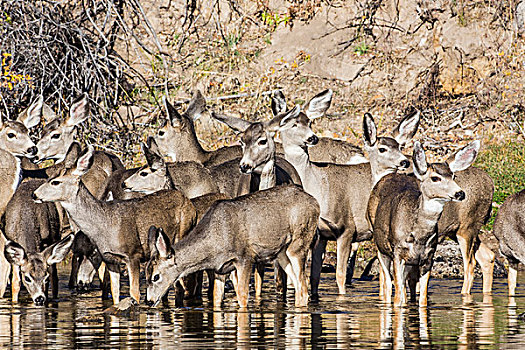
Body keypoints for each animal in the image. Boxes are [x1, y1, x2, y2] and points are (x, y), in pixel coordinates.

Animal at [32, 145, 196, 304]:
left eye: (55, 182)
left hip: (182, 235)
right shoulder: (110, 260)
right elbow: (114, 293)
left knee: (181, 284)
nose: (34, 194)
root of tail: (188, 202)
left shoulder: (133, 256)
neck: (104, 225)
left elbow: (134, 294)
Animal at [145, 185, 322, 308]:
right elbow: (217, 297)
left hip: (298, 244)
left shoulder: (245, 258)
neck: (213, 244)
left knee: (303, 286)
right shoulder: (220, 269)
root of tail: (315, 202)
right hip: (282, 254)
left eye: (156, 276)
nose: (149, 301)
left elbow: (242, 297)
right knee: (299, 286)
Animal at [278, 106, 418, 298]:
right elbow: (314, 276)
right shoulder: (321, 234)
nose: (312, 138)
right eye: (292, 123)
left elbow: (340, 274)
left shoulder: (346, 229)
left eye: (310, 122)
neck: (317, 183)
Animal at [366, 141, 476, 304]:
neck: (418, 236)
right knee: (387, 286)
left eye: (453, 176)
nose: (460, 193)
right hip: (381, 247)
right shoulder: (397, 253)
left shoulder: (428, 258)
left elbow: (423, 298)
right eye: (435, 178)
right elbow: (397, 298)